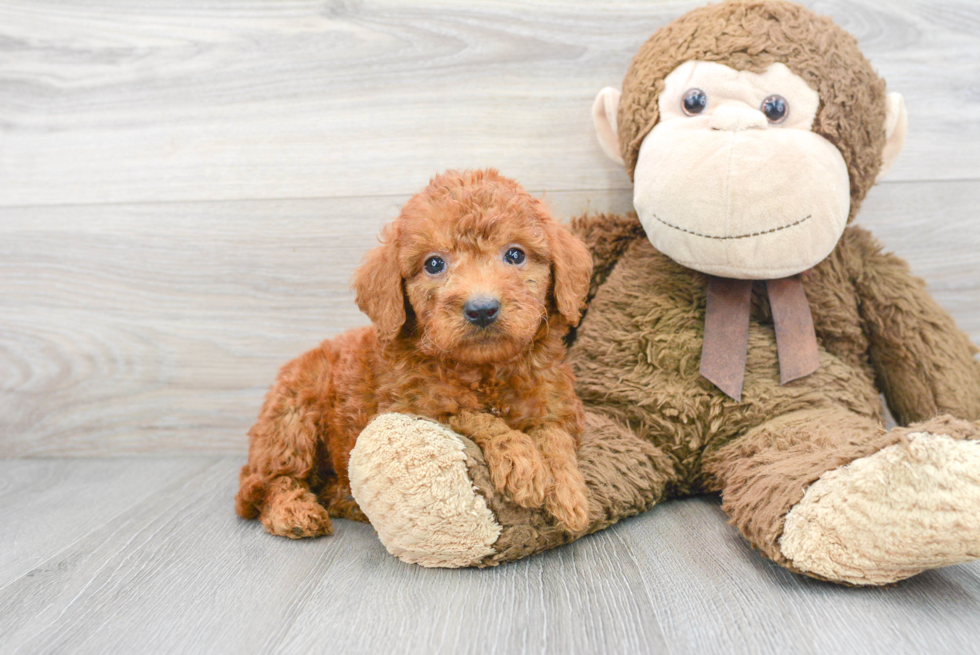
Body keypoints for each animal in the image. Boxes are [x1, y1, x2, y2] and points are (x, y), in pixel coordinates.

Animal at [234, 168, 592, 540]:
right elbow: (475, 416)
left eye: (516, 255)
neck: (485, 370)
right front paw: (521, 461)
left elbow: (555, 435)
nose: (481, 309)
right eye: (434, 264)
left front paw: (569, 494)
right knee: (265, 482)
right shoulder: (417, 408)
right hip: (292, 417)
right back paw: (294, 511)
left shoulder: (560, 406)